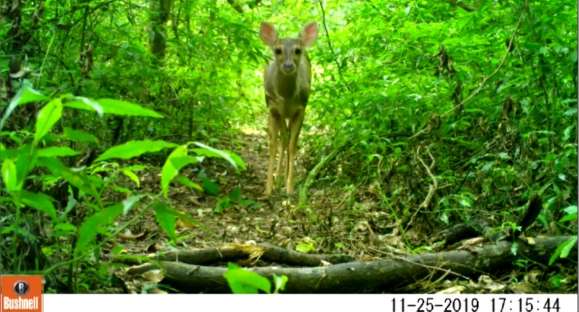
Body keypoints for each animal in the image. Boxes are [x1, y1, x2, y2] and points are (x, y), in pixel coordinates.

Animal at [260, 22, 320, 197]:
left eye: (297, 50)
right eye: (278, 50)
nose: (288, 65)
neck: (286, 98)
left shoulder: (301, 109)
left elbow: (293, 145)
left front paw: (289, 188)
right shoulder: (273, 109)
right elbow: (273, 145)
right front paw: (268, 189)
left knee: (287, 141)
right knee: (282, 140)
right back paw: (278, 179)